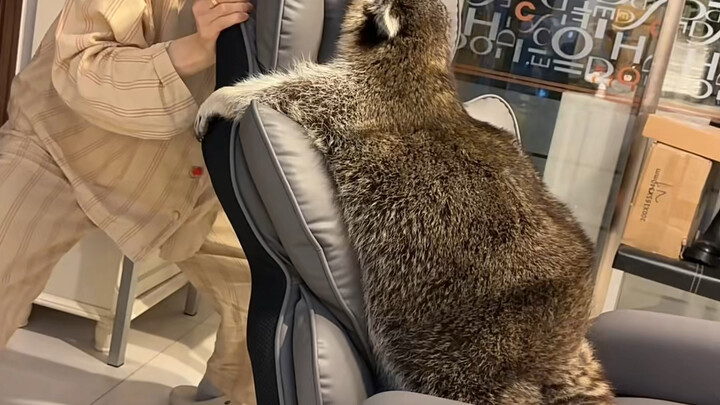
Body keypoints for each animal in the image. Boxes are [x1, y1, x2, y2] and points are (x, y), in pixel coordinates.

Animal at [195, 0, 614, 403]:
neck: (423, 54)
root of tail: (563, 346)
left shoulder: (358, 97)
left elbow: (294, 91)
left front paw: (229, 96)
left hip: (469, 343)